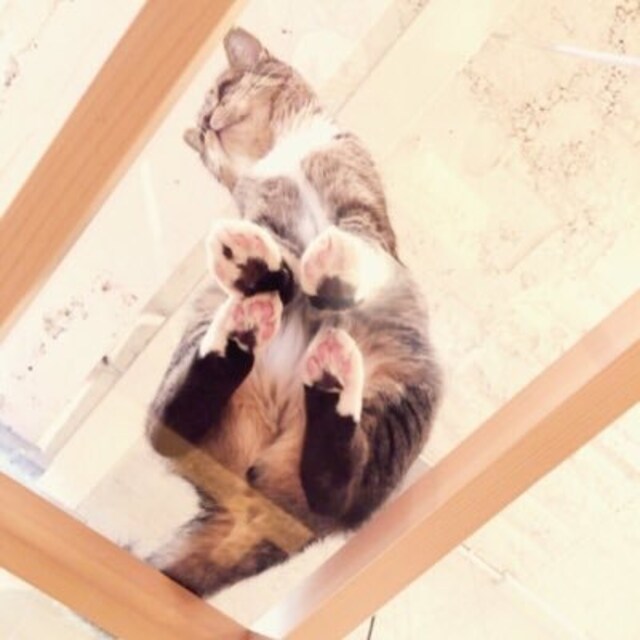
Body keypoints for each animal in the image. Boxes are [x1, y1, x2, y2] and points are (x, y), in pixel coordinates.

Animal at [145, 27, 442, 597]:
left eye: (222, 90)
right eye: (203, 129)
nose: (209, 125)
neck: (279, 155)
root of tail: (251, 508)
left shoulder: (360, 204)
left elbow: (357, 240)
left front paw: (329, 263)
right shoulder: (264, 217)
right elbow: (283, 253)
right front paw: (265, 262)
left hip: (403, 392)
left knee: (336, 489)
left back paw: (326, 373)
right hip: (201, 333)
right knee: (166, 427)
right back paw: (248, 311)